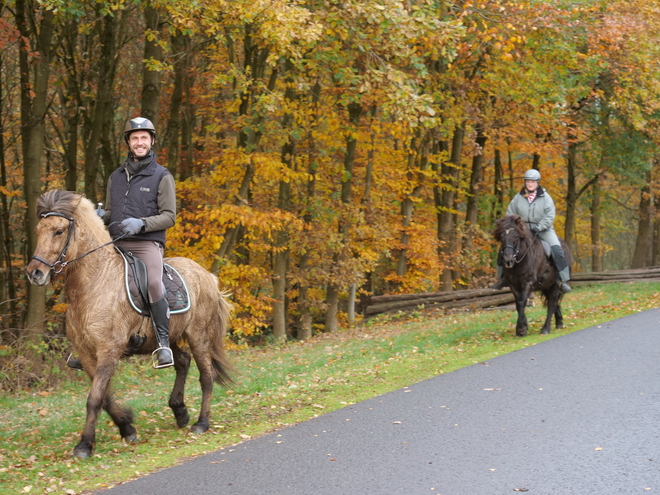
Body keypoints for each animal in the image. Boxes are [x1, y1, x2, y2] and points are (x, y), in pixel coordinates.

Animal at [25, 189, 235, 458]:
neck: (94, 283)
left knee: (206, 376)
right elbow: (103, 397)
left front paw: (84, 445)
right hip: (166, 337)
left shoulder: (109, 350)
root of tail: (207, 275)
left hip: (199, 334)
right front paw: (127, 427)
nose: (35, 273)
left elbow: (94, 398)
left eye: (59, 231)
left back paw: (201, 423)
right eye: (38, 230)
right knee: (182, 362)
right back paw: (180, 411)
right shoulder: (86, 354)